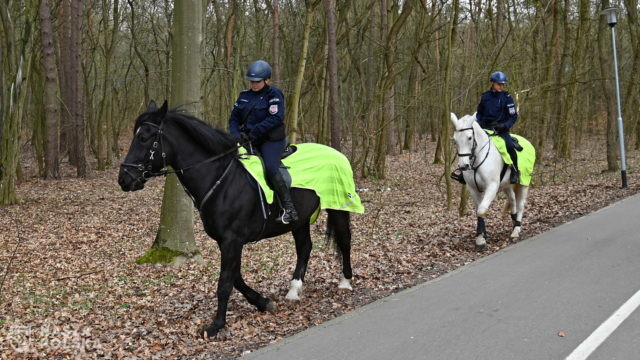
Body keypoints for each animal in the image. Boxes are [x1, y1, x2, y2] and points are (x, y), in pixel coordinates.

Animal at [117, 100, 352, 338]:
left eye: (144, 138)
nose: (124, 179)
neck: (221, 180)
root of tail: (337, 153)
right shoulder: (226, 241)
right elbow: (235, 277)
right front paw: (263, 302)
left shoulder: (232, 240)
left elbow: (225, 283)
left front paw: (216, 325)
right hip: (301, 220)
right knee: (305, 248)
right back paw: (294, 290)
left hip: (338, 207)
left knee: (344, 240)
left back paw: (345, 282)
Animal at [450, 113, 528, 250]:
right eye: (455, 140)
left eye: (469, 137)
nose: (463, 166)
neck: (477, 159)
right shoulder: (473, 188)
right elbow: (478, 211)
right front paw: (481, 236)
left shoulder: (492, 187)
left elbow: (482, 210)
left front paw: (481, 239)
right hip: (507, 185)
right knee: (512, 200)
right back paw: (513, 221)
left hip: (523, 183)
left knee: (520, 204)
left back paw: (516, 230)